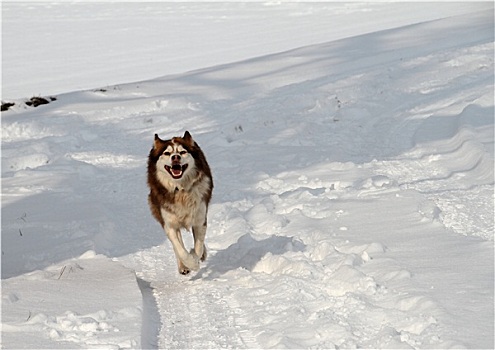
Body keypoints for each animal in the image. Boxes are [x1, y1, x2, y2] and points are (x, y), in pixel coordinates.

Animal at [149, 131, 215, 274]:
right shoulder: (169, 223)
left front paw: (196, 258)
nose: (175, 157)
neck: (180, 190)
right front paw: (190, 263)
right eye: (167, 153)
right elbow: (180, 249)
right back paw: (183, 266)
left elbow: (198, 246)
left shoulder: (199, 218)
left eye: (182, 152)